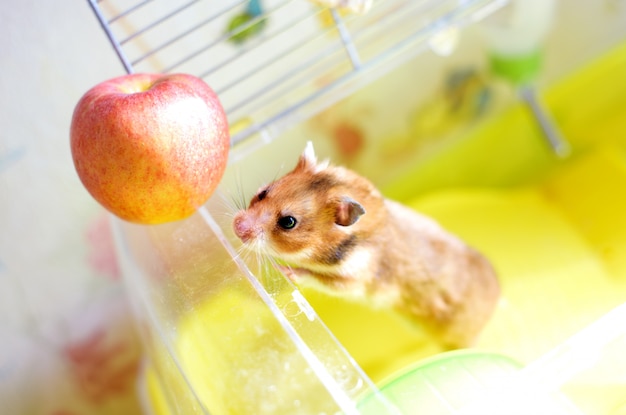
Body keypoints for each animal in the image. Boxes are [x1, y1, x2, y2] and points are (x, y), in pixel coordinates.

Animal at [230, 142, 498, 348]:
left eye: (288, 222)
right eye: (263, 192)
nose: (236, 226)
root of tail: (498, 297)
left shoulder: (354, 280)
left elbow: (316, 278)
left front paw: (284, 270)